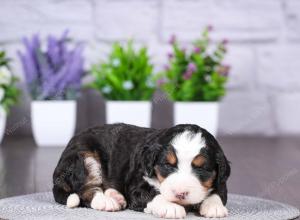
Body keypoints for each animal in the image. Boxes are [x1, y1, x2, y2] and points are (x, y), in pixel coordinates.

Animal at [52, 124, 231, 218]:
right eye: (168, 165)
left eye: (201, 168)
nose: (180, 193)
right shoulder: (137, 186)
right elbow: (154, 195)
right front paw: (171, 207)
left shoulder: (221, 182)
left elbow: (218, 194)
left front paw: (214, 207)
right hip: (84, 157)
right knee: (85, 189)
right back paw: (106, 202)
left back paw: (116, 196)